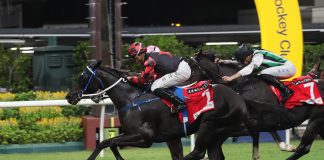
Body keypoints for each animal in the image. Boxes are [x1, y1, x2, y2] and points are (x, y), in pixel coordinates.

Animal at [66, 60, 248, 159]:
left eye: (82, 77)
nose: (69, 96)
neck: (131, 99)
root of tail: (238, 98)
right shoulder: (157, 136)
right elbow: (105, 142)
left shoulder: (145, 138)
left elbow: (111, 142)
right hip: (218, 134)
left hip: (210, 125)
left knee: (197, 152)